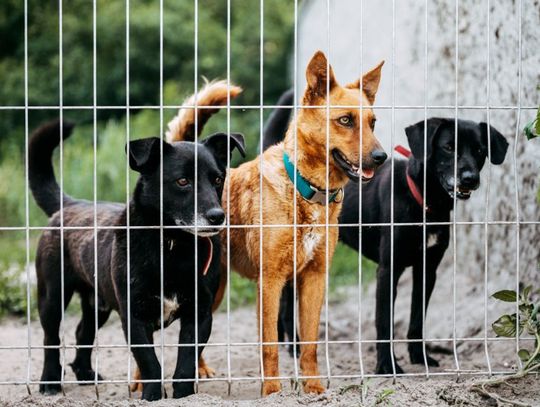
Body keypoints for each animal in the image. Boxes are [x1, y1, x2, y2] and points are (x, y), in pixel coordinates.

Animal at [30, 119, 246, 400]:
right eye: (182, 181)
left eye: (218, 179)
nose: (217, 216)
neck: (172, 246)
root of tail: (69, 205)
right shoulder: (134, 316)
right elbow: (149, 362)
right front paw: (152, 396)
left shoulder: (199, 315)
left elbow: (186, 362)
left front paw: (184, 396)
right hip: (52, 297)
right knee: (51, 339)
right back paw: (50, 382)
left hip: (97, 304)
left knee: (82, 332)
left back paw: (86, 374)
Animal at [167, 52, 386, 396]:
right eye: (345, 120)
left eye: (372, 122)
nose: (381, 157)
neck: (304, 190)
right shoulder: (269, 283)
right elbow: (269, 345)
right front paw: (272, 391)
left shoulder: (314, 279)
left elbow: (309, 344)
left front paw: (314, 389)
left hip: (213, 291)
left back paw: (198, 372)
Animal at [264, 91, 508, 374]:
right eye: (448, 147)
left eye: (480, 150)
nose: (469, 178)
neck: (426, 204)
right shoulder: (388, 270)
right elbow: (384, 322)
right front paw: (387, 365)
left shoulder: (427, 270)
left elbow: (417, 320)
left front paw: (420, 358)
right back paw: (293, 346)